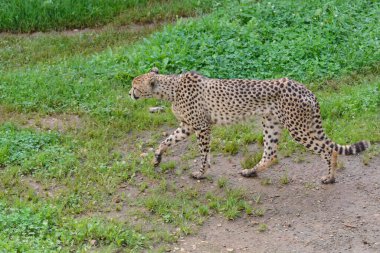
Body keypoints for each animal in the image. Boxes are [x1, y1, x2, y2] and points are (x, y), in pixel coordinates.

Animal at [129, 67, 370, 184]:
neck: (171, 88)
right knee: (270, 154)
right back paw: (250, 172)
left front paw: (201, 173)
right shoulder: (188, 126)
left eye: (134, 86)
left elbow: (203, 154)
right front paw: (157, 158)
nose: (129, 94)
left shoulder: (202, 127)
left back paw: (330, 177)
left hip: (298, 128)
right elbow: (166, 141)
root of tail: (303, 87)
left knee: (328, 149)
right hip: (272, 123)